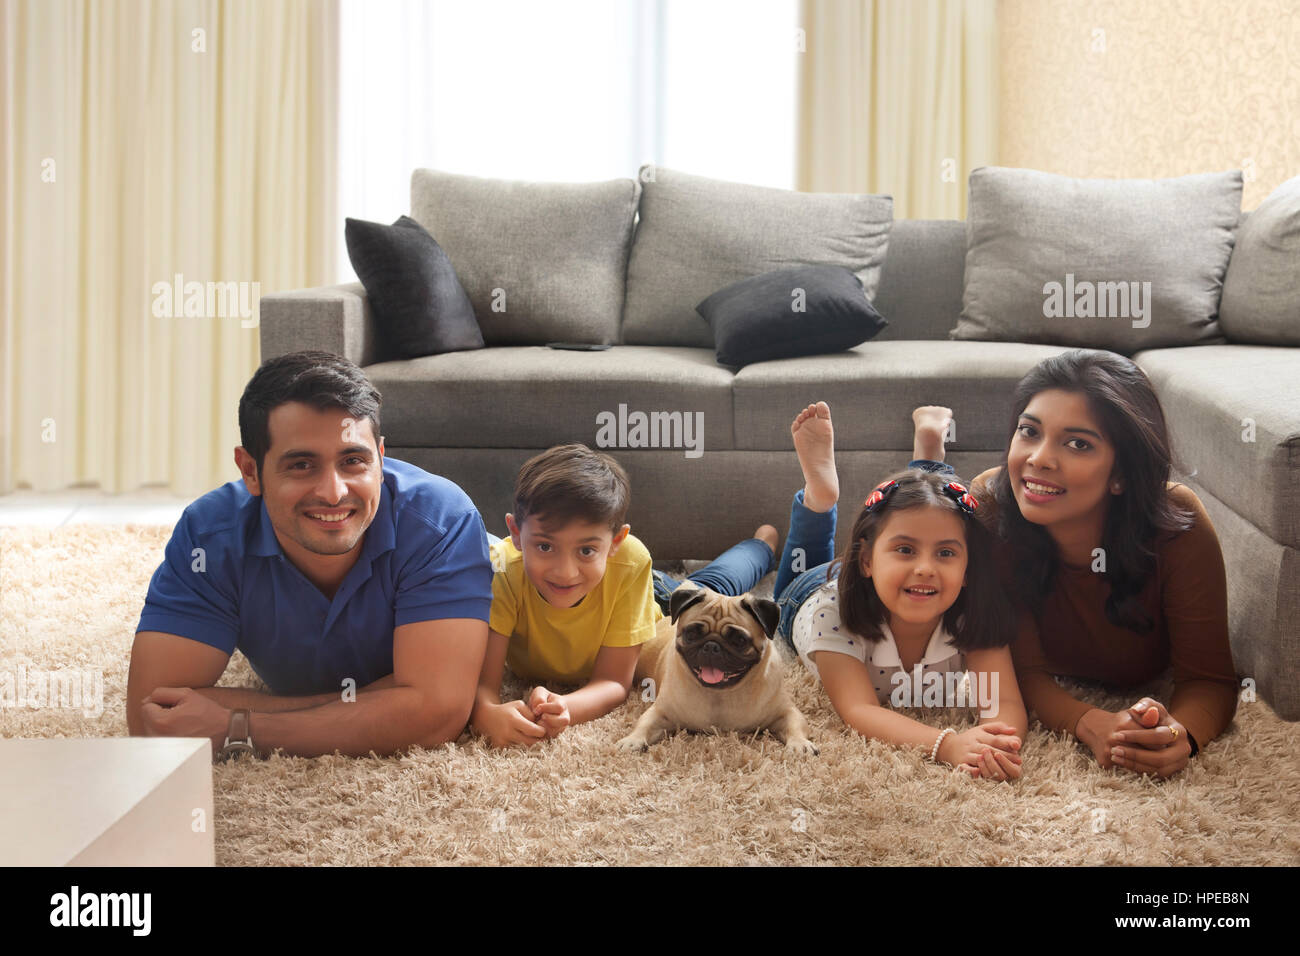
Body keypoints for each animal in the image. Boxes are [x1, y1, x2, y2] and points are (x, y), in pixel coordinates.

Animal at [616, 580, 816, 759]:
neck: (720, 695)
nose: (711, 646)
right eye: (691, 633)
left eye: (739, 640)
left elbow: (795, 725)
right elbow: (644, 723)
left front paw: (799, 744)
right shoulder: (661, 712)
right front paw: (632, 741)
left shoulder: (785, 712)